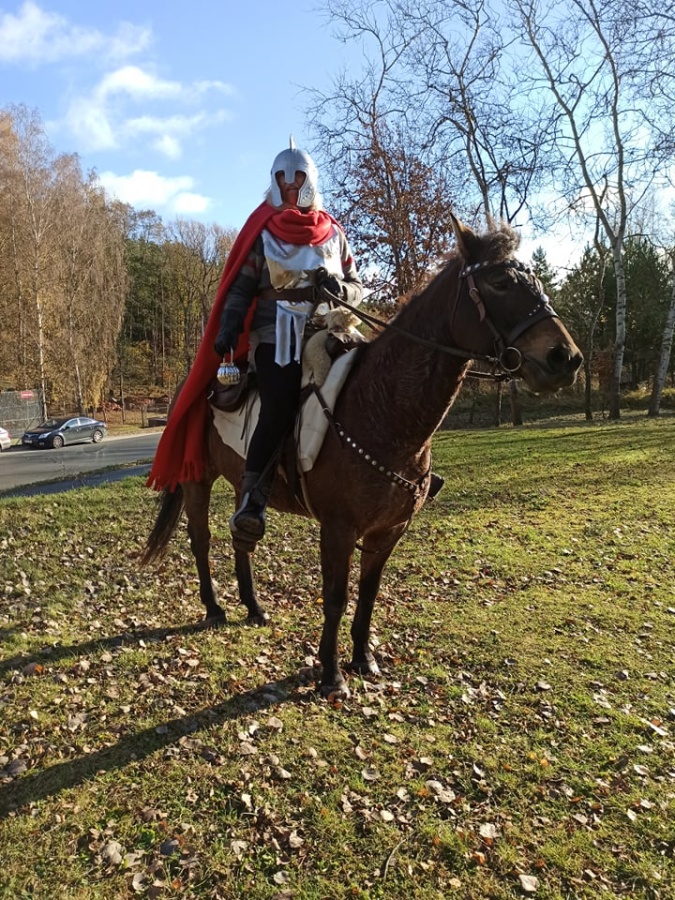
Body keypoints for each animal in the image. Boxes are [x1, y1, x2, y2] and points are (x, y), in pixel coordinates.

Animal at [142, 214, 583, 698]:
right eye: (500, 282)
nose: (565, 358)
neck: (382, 408)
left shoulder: (387, 531)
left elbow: (368, 594)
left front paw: (363, 658)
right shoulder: (337, 529)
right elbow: (335, 597)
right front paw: (332, 675)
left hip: (242, 483)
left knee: (242, 534)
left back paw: (253, 606)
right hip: (197, 479)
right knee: (201, 540)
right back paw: (215, 607)